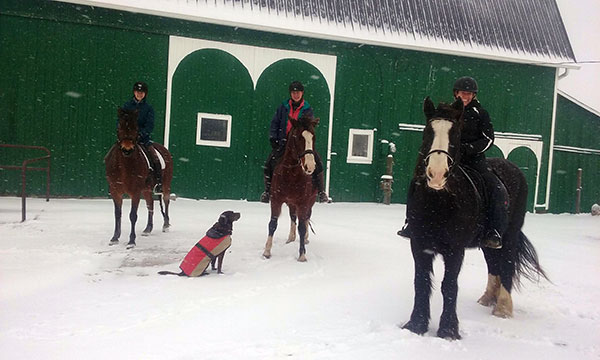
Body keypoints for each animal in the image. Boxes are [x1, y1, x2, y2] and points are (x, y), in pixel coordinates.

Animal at [103, 107, 172, 248]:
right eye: (119, 126)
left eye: (136, 128)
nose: (127, 149)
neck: (125, 164)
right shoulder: (115, 191)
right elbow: (117, 214)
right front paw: (115, 238)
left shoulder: (135, 192)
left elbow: (133, 215)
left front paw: (131, 241)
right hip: (146, 189)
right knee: (150, 204)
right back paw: (148, 229)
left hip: (165, 185)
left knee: (166, 201)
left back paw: (166, 225)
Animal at [262, 114, 318, 262]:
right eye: (298, 137)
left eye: (313, 137)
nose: (310, 166)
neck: (291, 173)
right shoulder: (276, 200)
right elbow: (272, 224)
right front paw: (267, 251)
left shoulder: (303, 202)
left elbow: (302, 227)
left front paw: (302, 254)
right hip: (292, 203)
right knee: (293, 217)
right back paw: (291, 238)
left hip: (309, 202)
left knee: (305, 219)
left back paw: (305, 238)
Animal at [404, 98, 548, 340]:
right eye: (427, 133)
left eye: (455, 135)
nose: (437, 174)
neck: (438, 202)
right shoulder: (419, 244)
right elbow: (421, 283)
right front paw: (416, 325)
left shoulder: (455, 249)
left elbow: (449, 285)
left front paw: (448, 330)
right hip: (489, 241)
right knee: (494, 263)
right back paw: (488, 299)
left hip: (510, 235)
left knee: (507, 264)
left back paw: (502, 308)